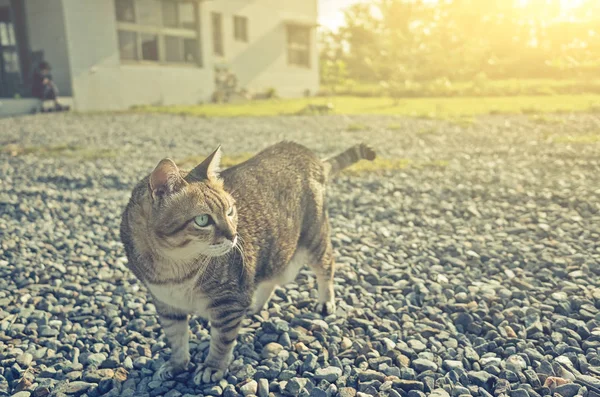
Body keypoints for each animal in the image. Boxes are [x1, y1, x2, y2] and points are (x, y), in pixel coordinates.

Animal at [118, 140, 376, 384]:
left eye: (230, 211)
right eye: (202, 220)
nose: (234, 235)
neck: (173, 267)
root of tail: (308, 154)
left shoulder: (228, 304)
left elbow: (221, 342)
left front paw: (212, 367)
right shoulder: (166, 303)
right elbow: (176, 339)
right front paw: (177, 364)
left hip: (314, 238)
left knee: (326, 266)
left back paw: (325, 301)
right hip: (277, 250)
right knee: (271, 278)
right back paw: (256, 304)